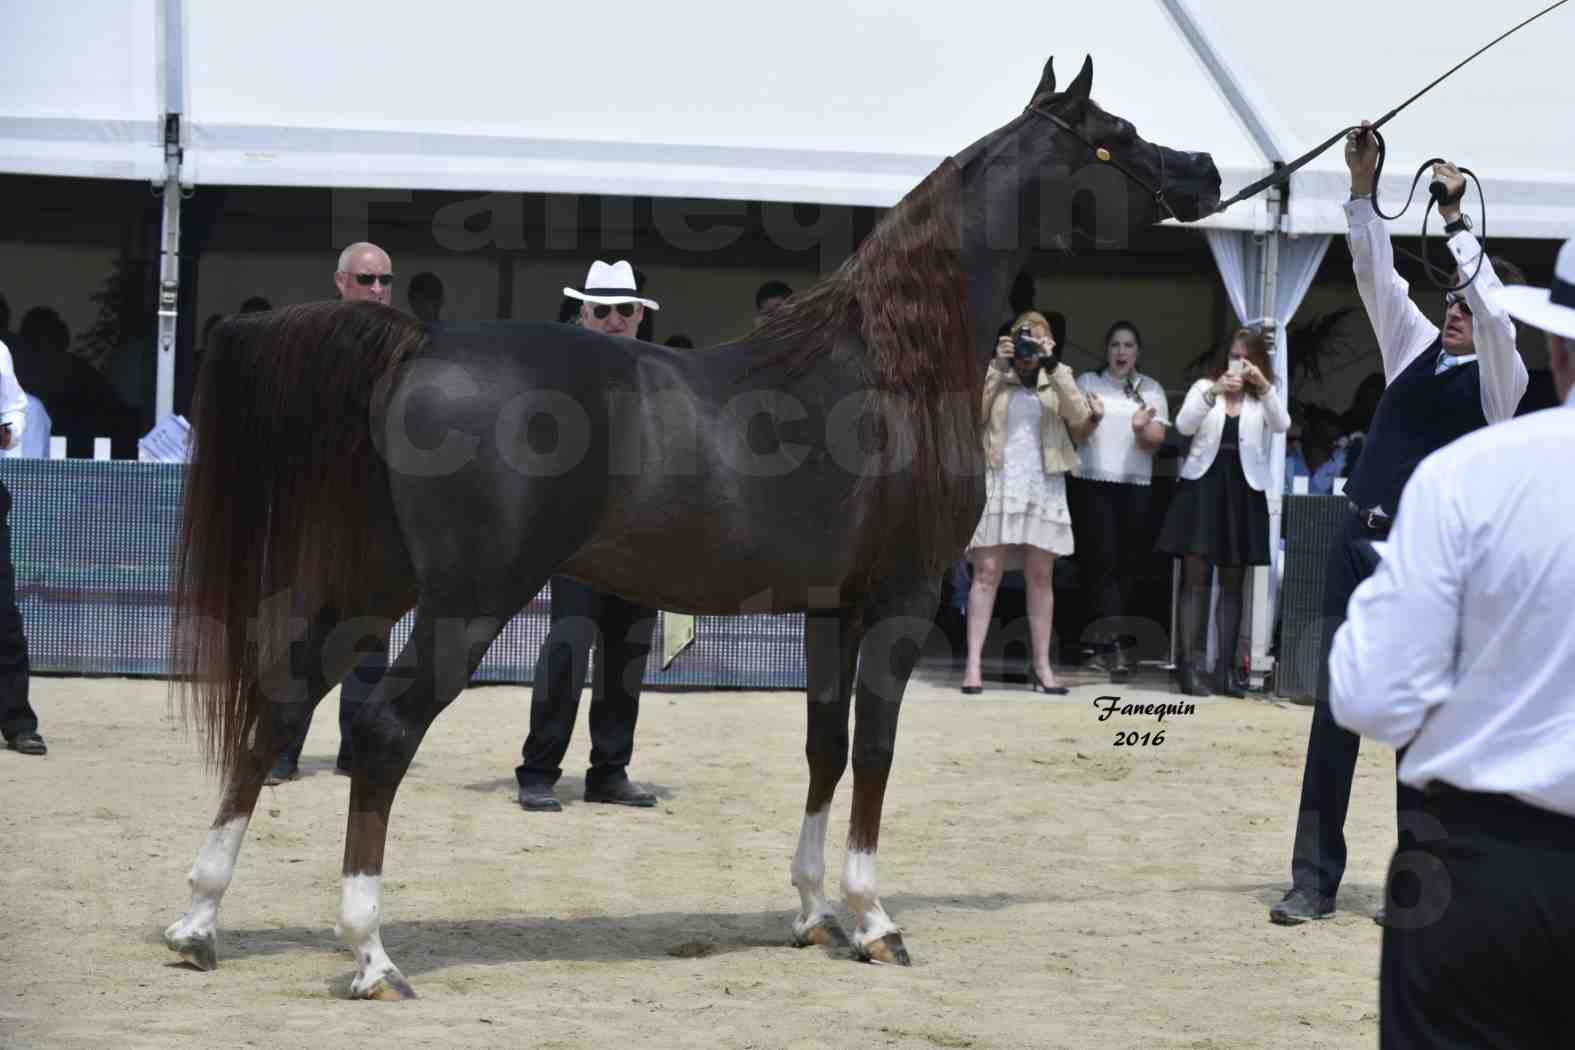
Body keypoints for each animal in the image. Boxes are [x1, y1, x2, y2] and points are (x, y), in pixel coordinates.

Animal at [163, 55, 1215, 1001]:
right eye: (1116, 135)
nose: (1203, 168)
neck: (889, 366)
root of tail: (418, 343)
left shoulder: (830, 609)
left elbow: (824, 746)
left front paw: (812, 913)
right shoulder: (903, 598)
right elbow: (874, 751)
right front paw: (874, 922)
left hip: (371, 585)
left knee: (281, 705)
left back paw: (199, 923)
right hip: (468, 600)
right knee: (380, 731)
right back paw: (370, 955)